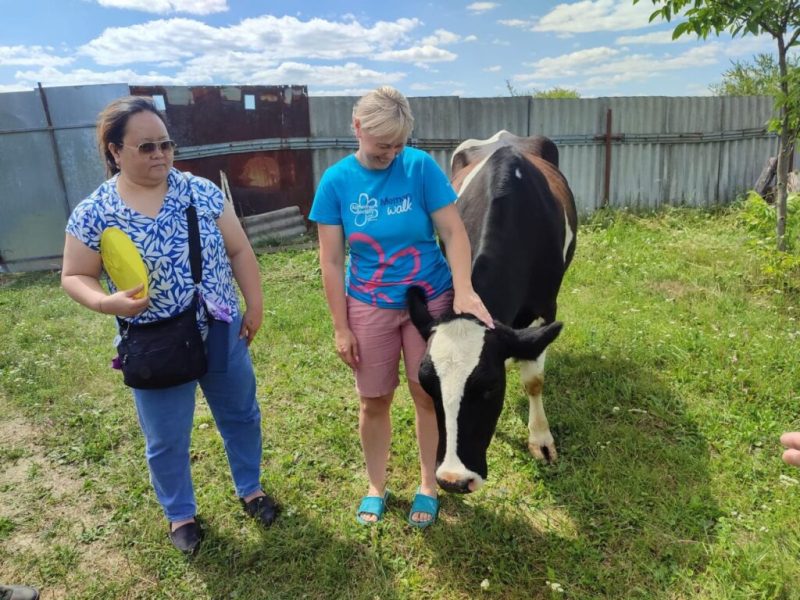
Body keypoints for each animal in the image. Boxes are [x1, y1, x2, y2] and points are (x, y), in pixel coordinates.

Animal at [406, 130, 576, 492]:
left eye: (489, 387)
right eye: (428, 386)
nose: (453, 480)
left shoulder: (546, 307)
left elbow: (534, 380)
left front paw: (541, 439)